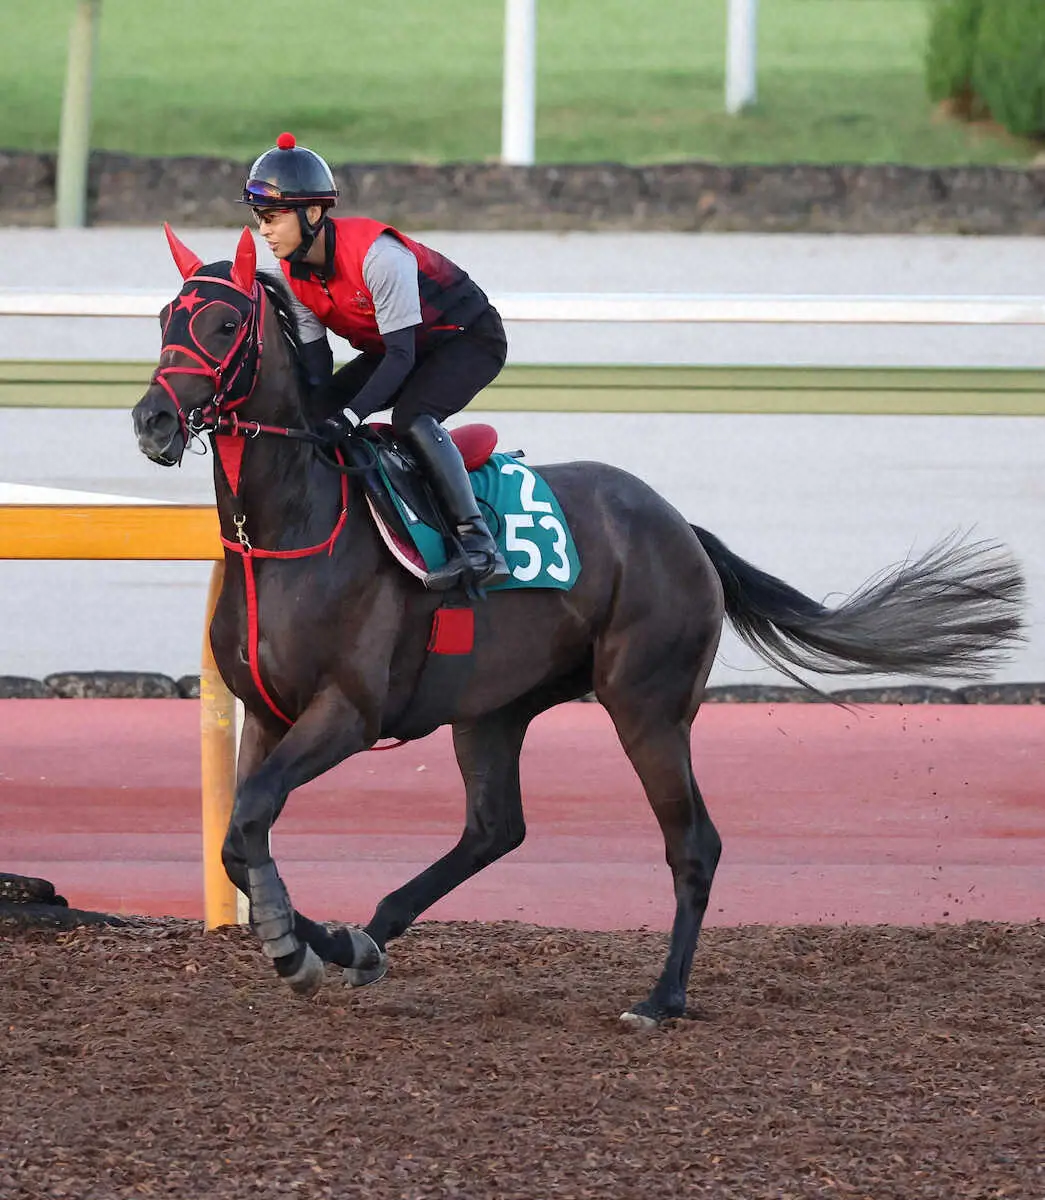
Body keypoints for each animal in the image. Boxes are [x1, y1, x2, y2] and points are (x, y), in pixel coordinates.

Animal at [132, 226, 1031, 1032]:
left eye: (224, 324)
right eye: (166, 317)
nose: (152, 421)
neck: (290, 530)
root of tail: (680, 529)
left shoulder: (347, 714)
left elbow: (252, 817)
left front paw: (295, 945)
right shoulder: (268, 714)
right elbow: (240, 835)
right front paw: (306, 940)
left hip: (646, 705)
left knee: (692, 842)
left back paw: (660, 999)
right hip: (493, 709)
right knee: (494, 828)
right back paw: (370, 934)